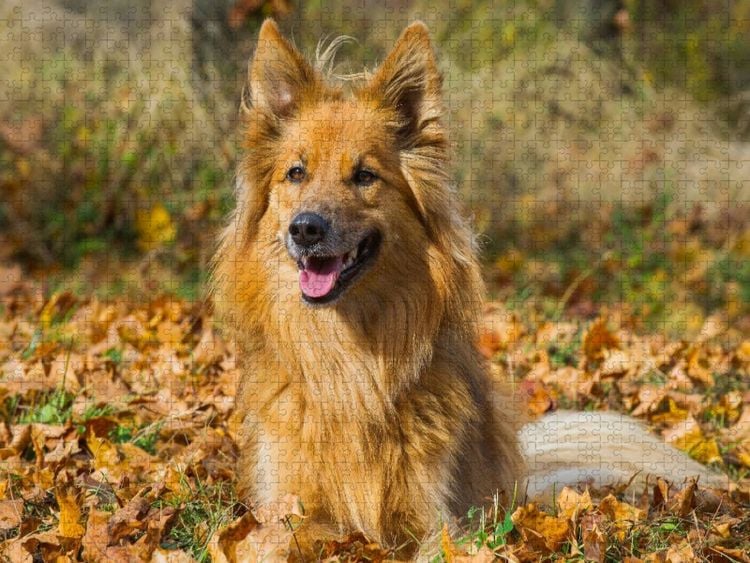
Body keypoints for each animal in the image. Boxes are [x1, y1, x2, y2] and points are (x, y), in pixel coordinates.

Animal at [211, 18, 726, 557]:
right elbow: (271, 542)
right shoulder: (285, 511)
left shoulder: (436, 520)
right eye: (296, 172)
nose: (306, 228)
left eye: (365, 176)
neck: (349, 364)